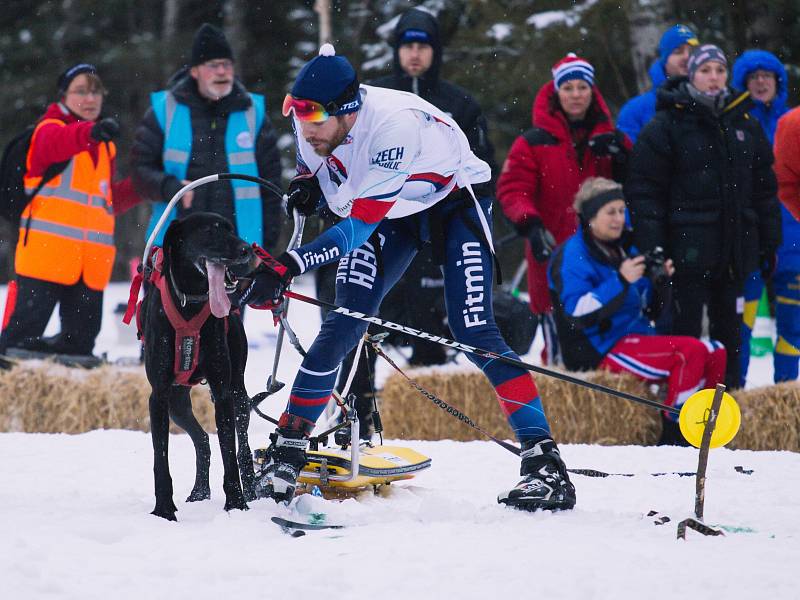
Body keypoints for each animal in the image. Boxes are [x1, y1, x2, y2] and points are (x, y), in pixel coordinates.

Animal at [140, 212, 256, 520]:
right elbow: (160, 457)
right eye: (208, 231)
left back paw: (252, 491)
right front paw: (164, 509)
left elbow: (229, 452)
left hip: (239, 394)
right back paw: (200, 491)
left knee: (243, 446)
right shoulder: (158, 397)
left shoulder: (223, 392)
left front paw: (236, 504)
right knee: (202, 440)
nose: (246, 250)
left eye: (230, 228)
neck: (190, 302)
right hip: (176, 404)